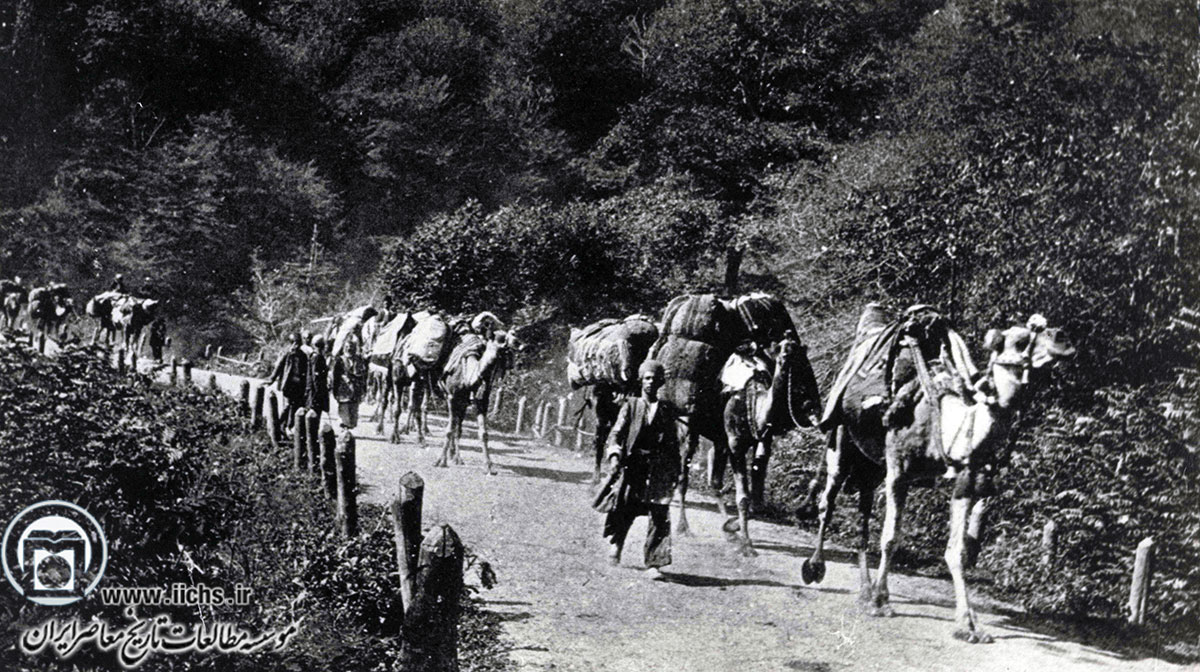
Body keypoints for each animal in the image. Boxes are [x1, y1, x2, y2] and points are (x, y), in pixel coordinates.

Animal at [436, 326, 520, 472]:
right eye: (501, 339)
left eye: (513, 334)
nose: (518, 342)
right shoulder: (452, 397)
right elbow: (449, 430)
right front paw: (441, 461)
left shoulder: (480, 401)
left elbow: (482, 433)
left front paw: (489, 467)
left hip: (462, 403)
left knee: (457, 425)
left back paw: (454, 456)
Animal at [715, 333, 820, 554]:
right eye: (782, 350)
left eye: (799, 351)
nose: (788, 355)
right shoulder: (735, 445)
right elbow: (743, 498)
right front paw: (746, 544)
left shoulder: (763, 439)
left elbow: (756, 496)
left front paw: (734, 527)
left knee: (714, 478)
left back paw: (727, 529)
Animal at [801, 303, 1075, 638]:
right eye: (1021, 340)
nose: (1063, 338)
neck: (945, 420)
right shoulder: (899, 470)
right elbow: (890, 537)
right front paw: (882, 602)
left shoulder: (966, 479)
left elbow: (957, 550)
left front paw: (968, 624)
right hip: (841, 440)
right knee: (828, 502)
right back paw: (816, 567)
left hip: (872, 466)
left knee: (863, 514)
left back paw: (865, 589)